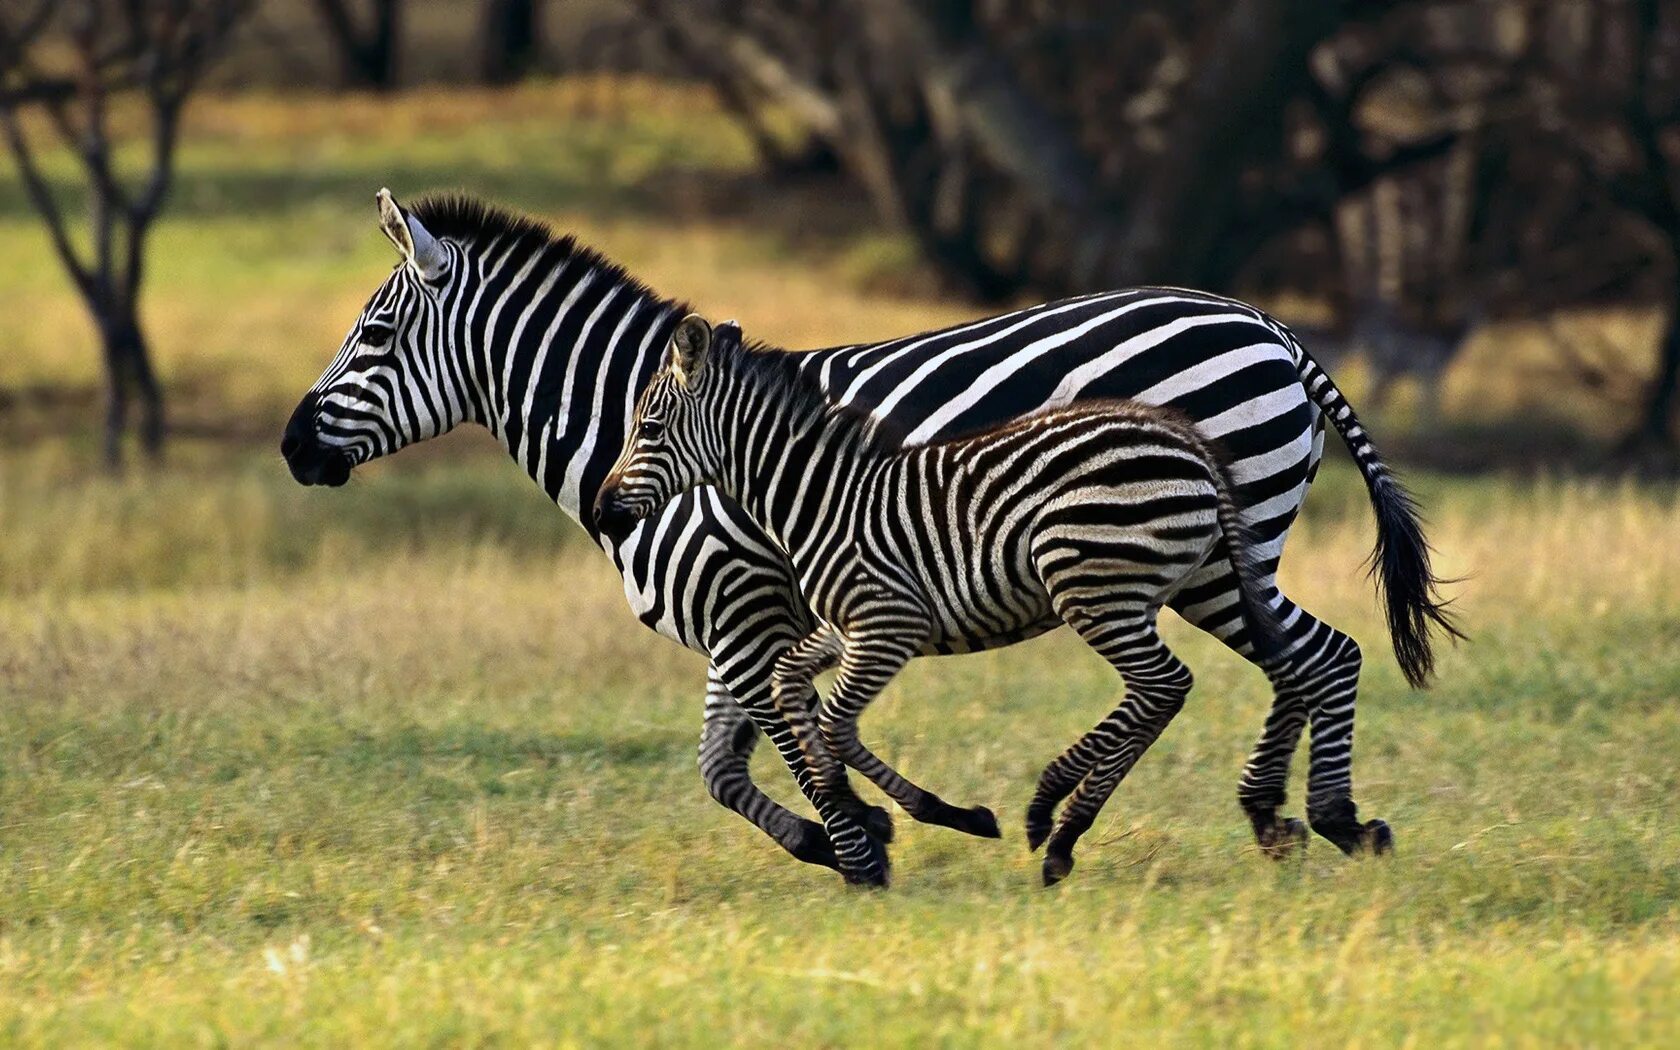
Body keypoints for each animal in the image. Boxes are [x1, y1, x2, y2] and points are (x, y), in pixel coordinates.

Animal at [598, 312, 1290, 887]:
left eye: (648, 427)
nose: (604, 512)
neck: (820, 500)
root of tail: (1187, 442)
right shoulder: (844, 628)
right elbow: (791, 686)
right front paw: (851, 809)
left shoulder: (888, 624)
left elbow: (834, 722)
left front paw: (882, 818)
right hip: (1135, 591)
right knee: (1170, 689)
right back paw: (1065, 831)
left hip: (1091, 585)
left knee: (1164, 685)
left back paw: (1053, 815)